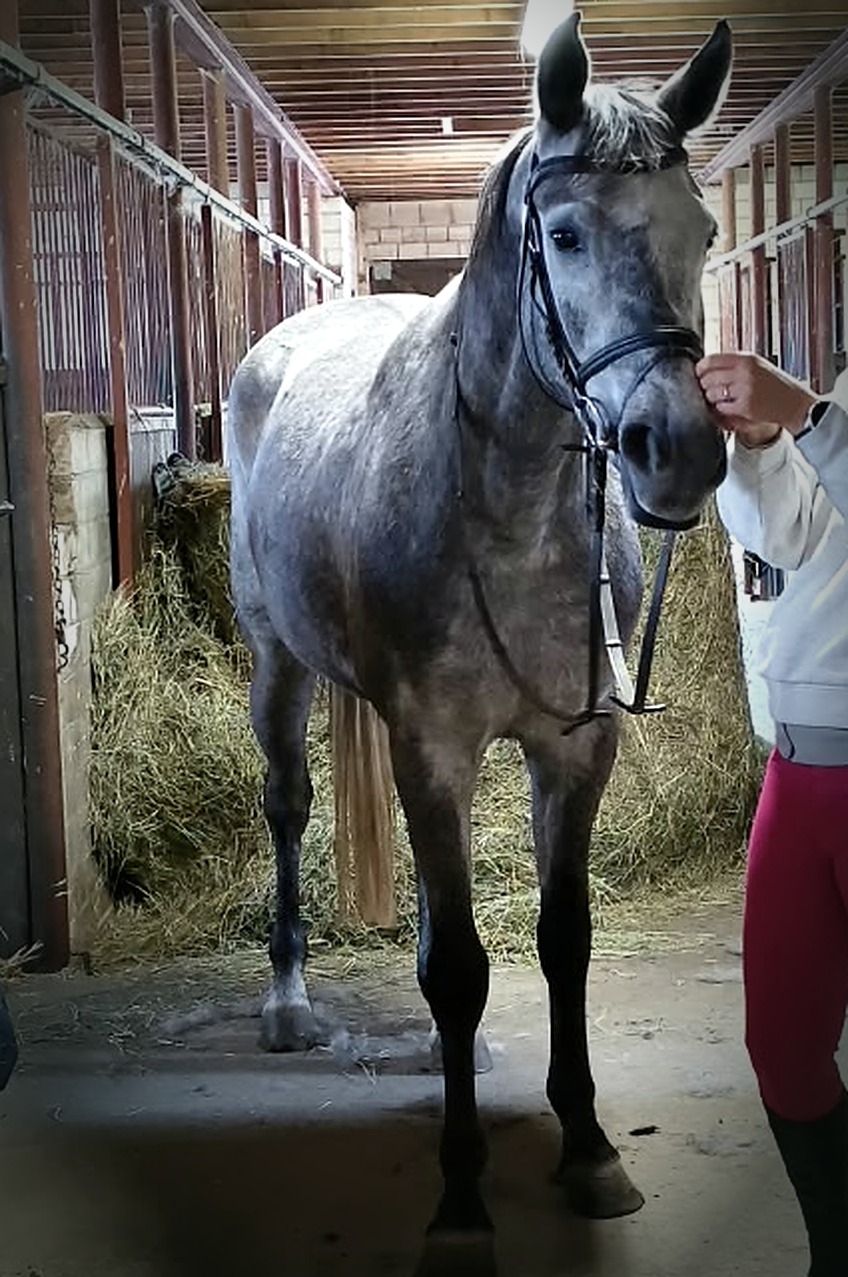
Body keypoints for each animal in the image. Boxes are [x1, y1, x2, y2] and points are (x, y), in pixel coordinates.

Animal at [228, 13, 732, 1237]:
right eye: (565, 234)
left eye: (699, 229)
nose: (678, 450)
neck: (507, 513)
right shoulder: (433, 747)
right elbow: (461, 967)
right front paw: (461, 1188)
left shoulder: (574, 747)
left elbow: (561, 939)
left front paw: (588, 1145)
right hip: (278, 665)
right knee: (287, 805)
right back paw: (287, 1002)